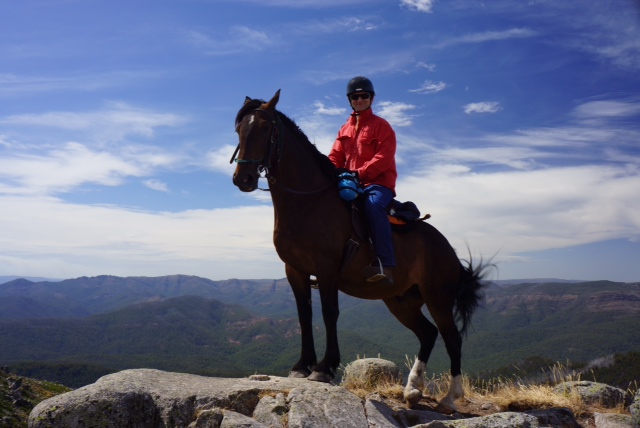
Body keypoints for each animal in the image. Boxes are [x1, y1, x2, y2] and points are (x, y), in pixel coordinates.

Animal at [232, 90, 488, 414]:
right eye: (239, 130)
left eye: (266, 128)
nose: (243, 178)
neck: (309, 203)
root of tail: (447, 249)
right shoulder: (295, 270)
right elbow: (304, 314)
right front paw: (302, 365)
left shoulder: (327, 268)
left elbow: (329, 313)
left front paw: (324, 368)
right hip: (401, 301)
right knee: (428, 334)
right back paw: (412, 390)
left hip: (437, 297)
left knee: (451, 338)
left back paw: (450, 397)